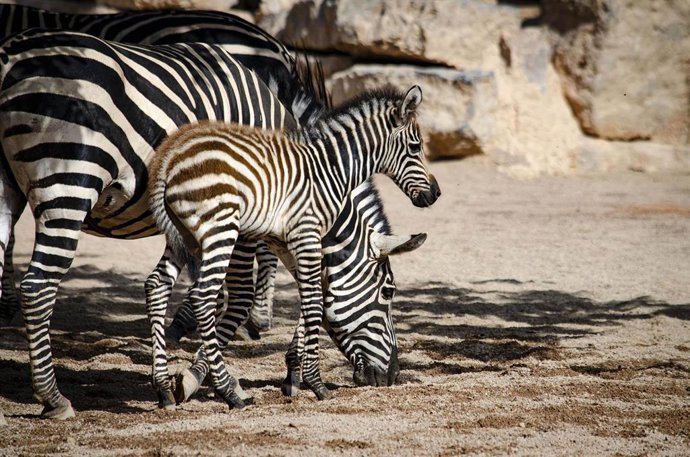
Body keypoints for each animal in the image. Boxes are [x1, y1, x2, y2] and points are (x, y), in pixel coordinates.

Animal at [148, 85, 442, 405]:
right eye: (416, 147)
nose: (436, 194)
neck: (329, 169)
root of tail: (168, 160)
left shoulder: (285, 241)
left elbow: (313, 297)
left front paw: (294, 374)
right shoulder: (305, 232)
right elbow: (312, 302)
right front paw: (315, 382)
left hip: (183, 235)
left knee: (156, 285)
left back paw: (163, 388)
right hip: (220, 228)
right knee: (203, 296)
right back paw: (230, 392)